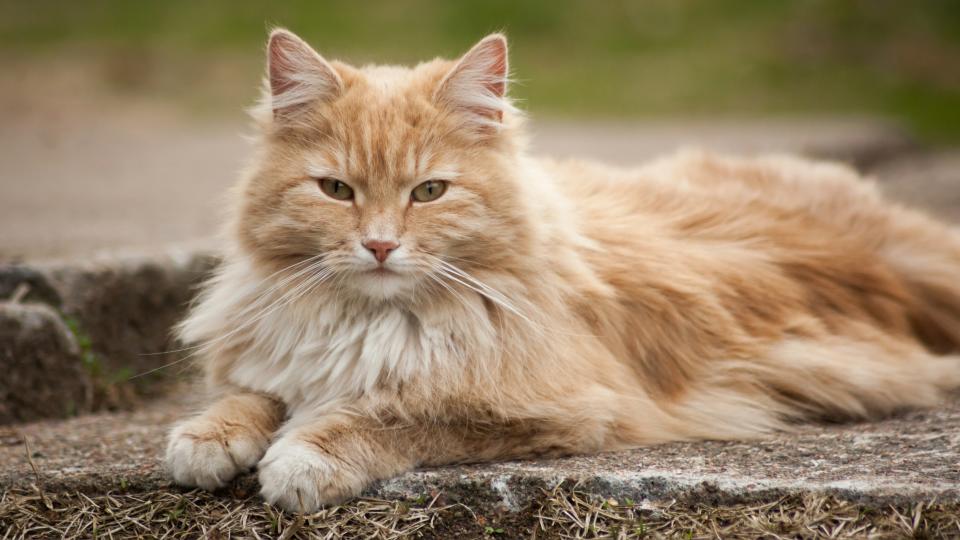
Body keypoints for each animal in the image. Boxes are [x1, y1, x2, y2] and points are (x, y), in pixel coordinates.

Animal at [165, 29, 960, 510]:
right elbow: (254, 395)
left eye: (430, 192)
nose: (381, 246)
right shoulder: (279, 357)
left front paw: (304, 458)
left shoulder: (557, 409)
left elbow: (392, 414)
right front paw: (207, 439)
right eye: (336, 190)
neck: (371, 321)